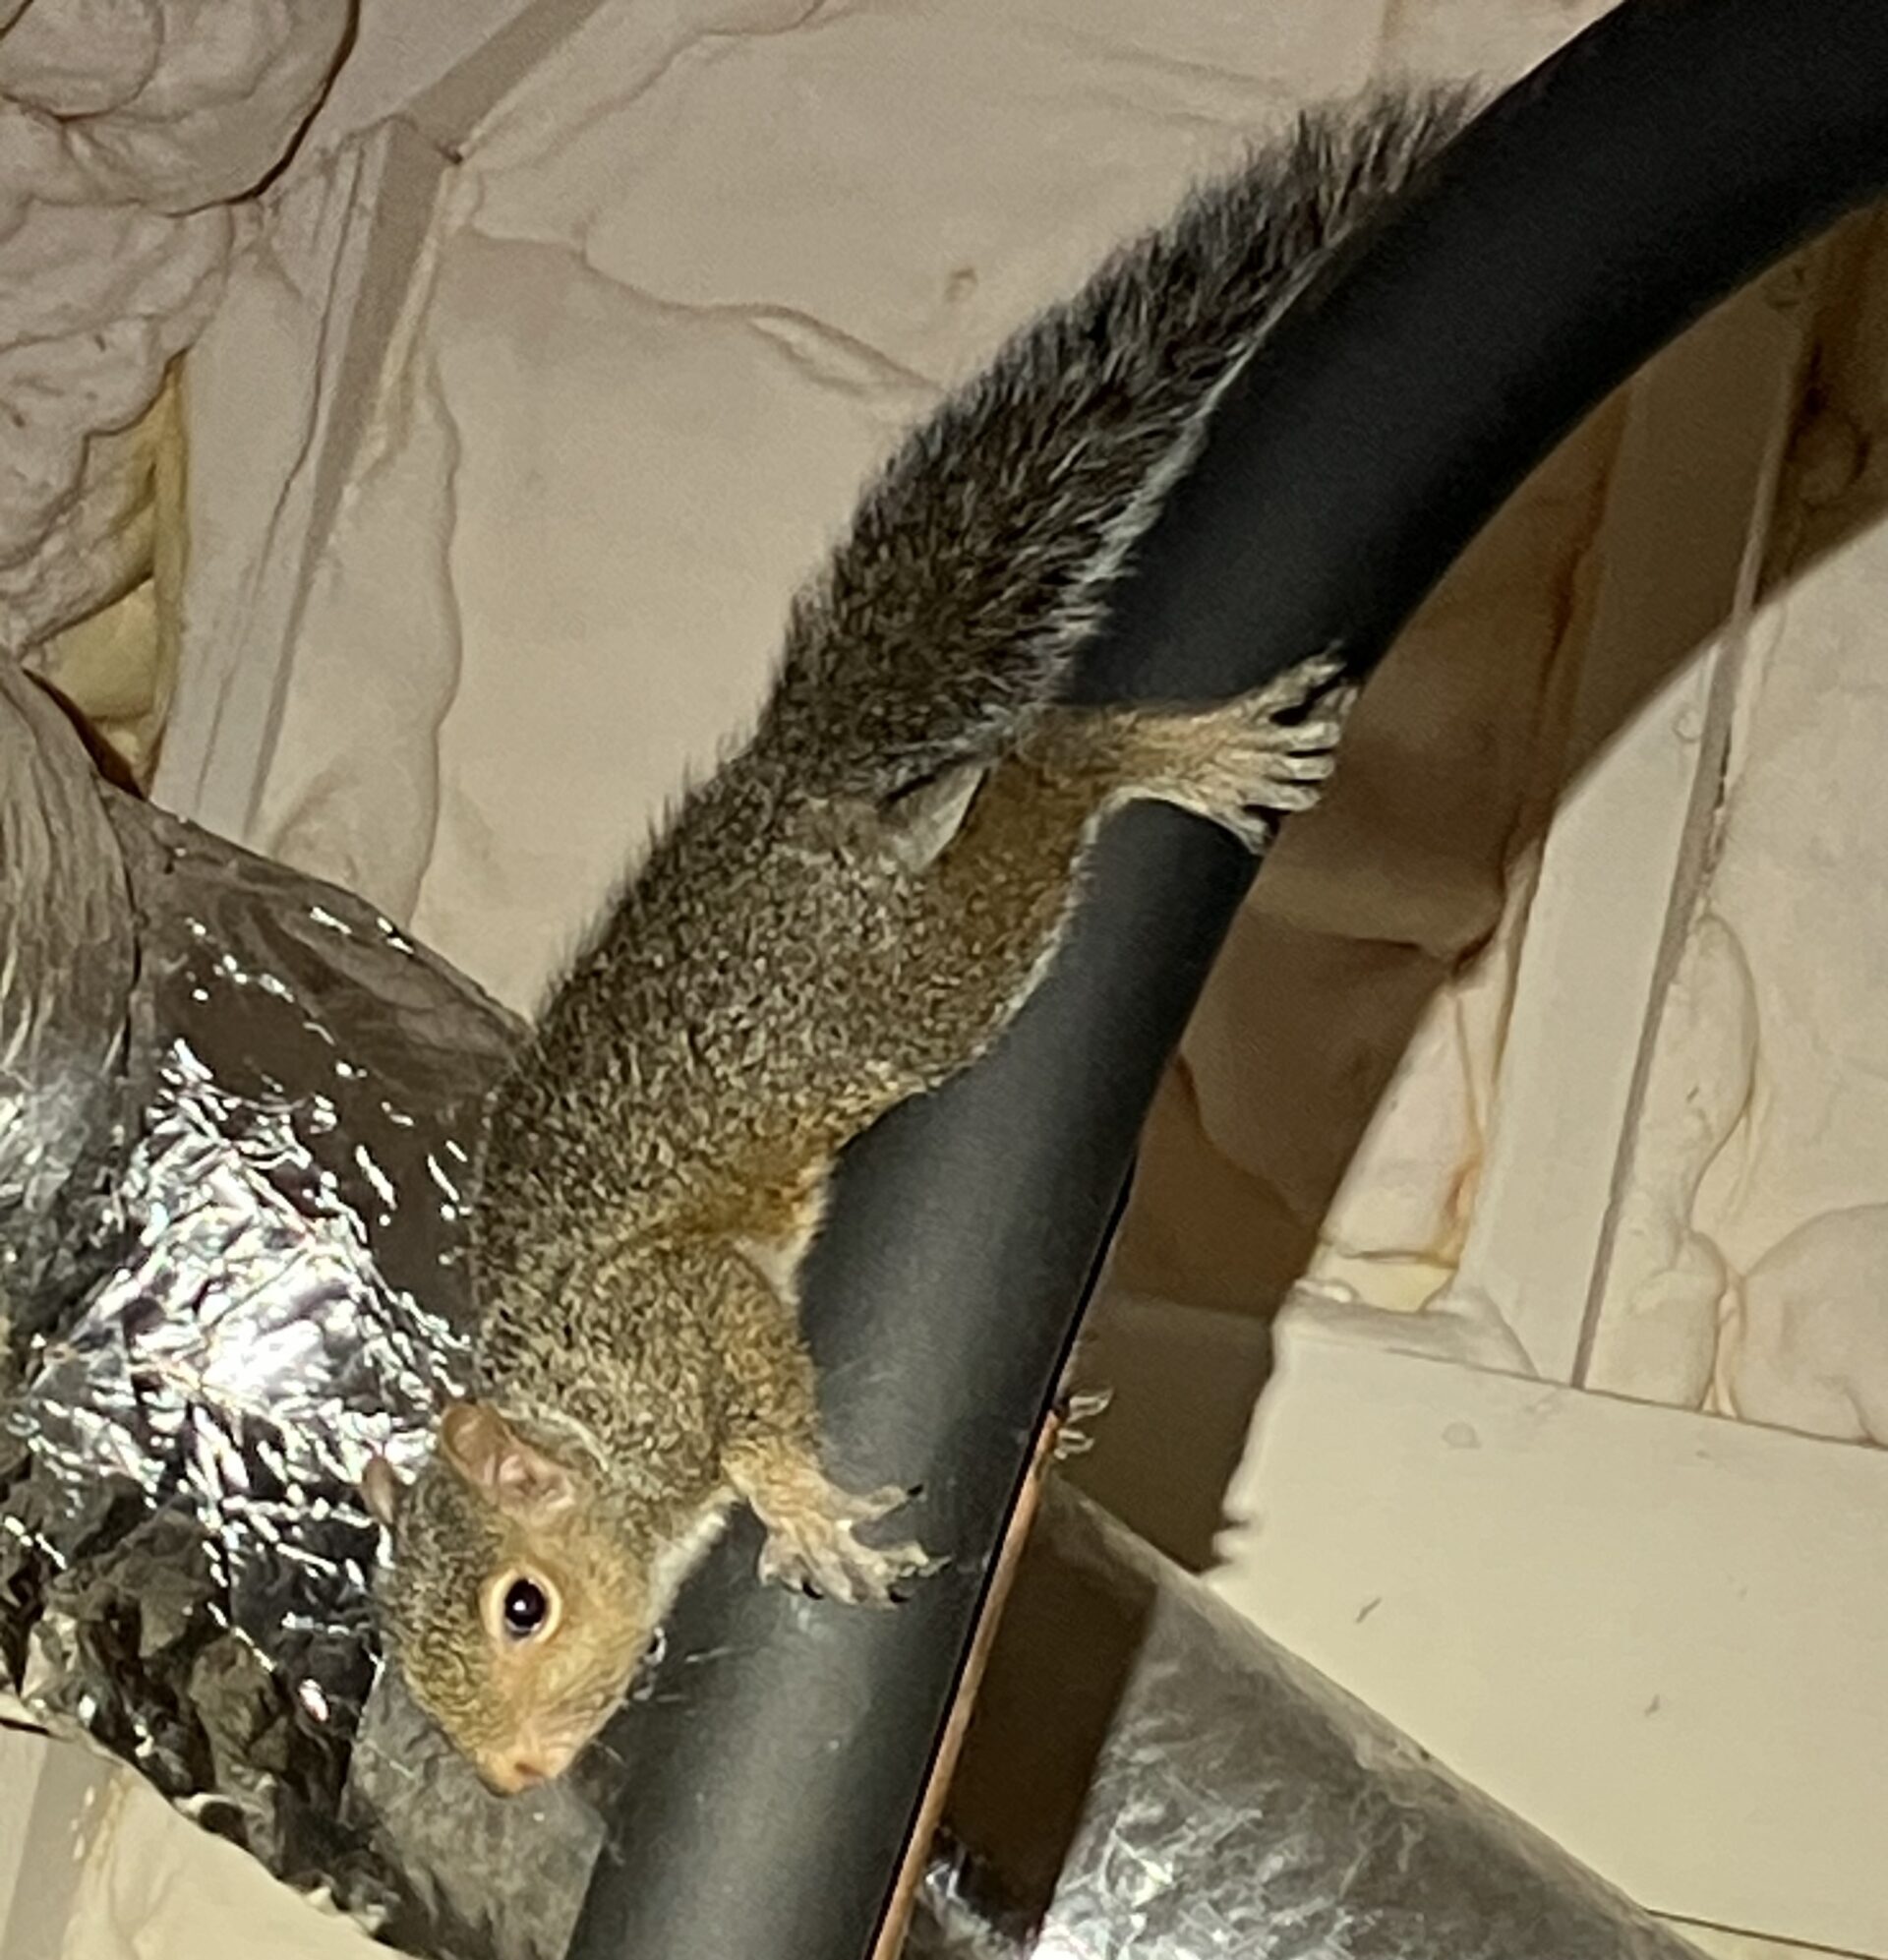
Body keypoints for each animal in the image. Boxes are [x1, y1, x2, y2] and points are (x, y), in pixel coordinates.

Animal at [361, 87, 1470, 1795]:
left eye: (522, 1604)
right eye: (408, 1664)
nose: (516, 1777)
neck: (578, 1399)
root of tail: (781, 785)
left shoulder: (680, 1316)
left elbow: (757, 1397)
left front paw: (799, 1505)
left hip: (886, 991)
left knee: (1043, 776)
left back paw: (1157, 757)